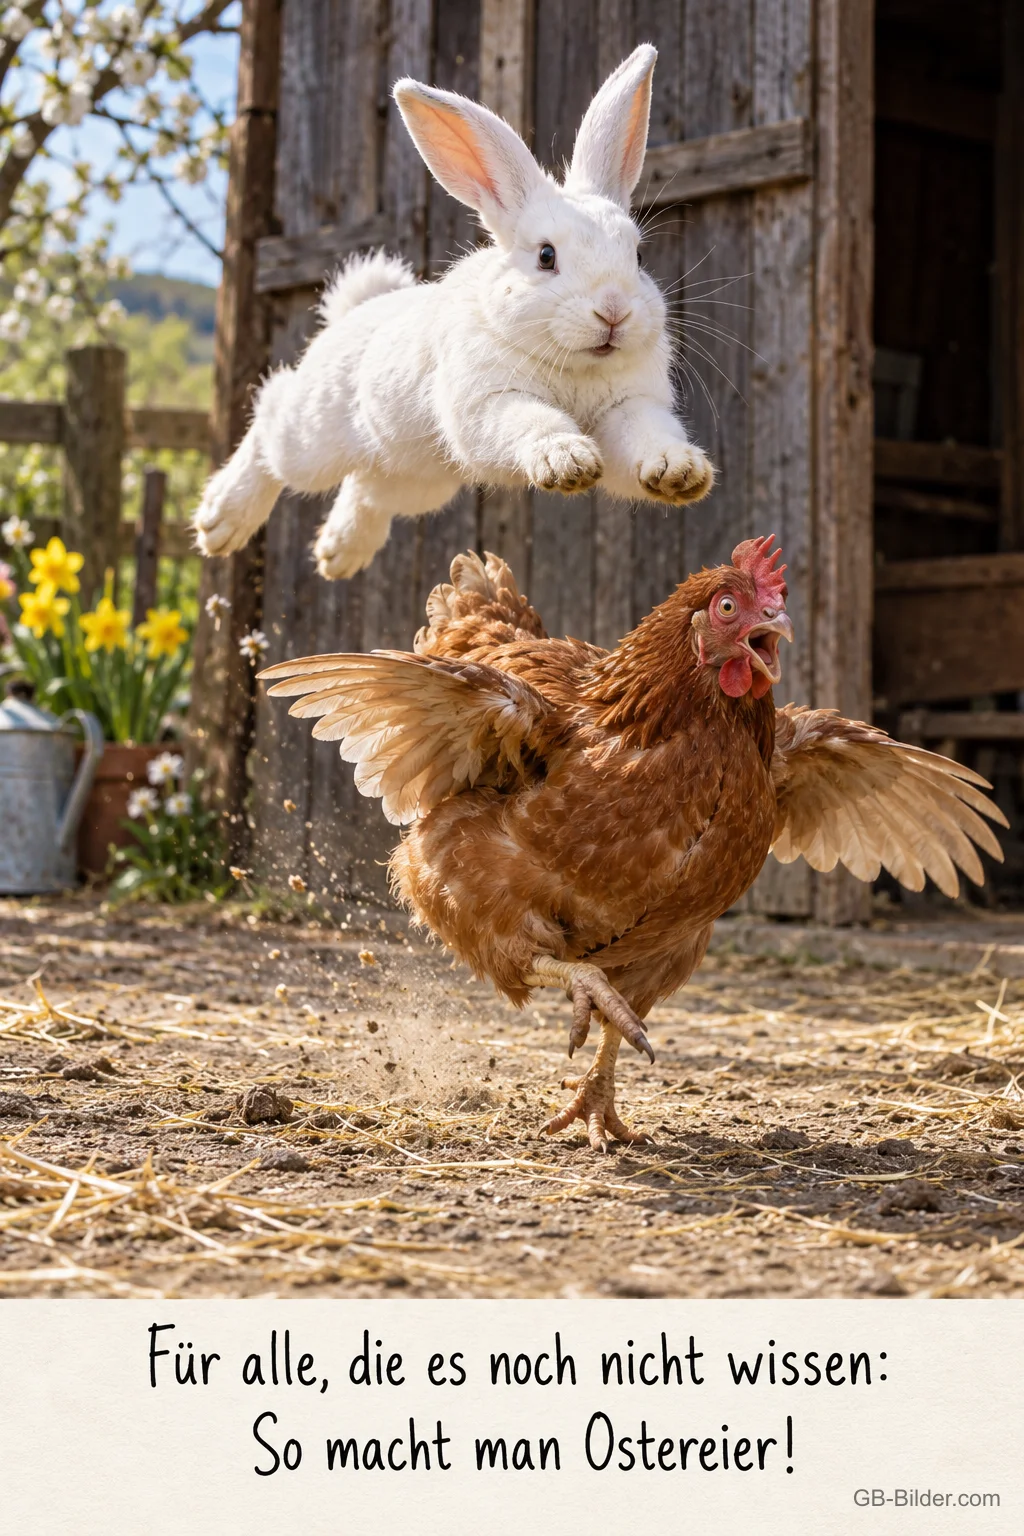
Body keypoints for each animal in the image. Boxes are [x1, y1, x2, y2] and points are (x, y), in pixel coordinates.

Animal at [192, 44, 715, 581]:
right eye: (546, 256)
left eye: (638, 256)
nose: (613, 311)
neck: (576, 365)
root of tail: (352, 314)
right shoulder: (489, 403)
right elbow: (532, 422)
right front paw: (566, 459)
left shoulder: (629, 409)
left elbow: (646, 438)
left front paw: (680, 472)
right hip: (313, 438)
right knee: (271, 423)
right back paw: (220, 520)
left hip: (415, 479)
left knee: (365, 490)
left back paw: (338, 554)